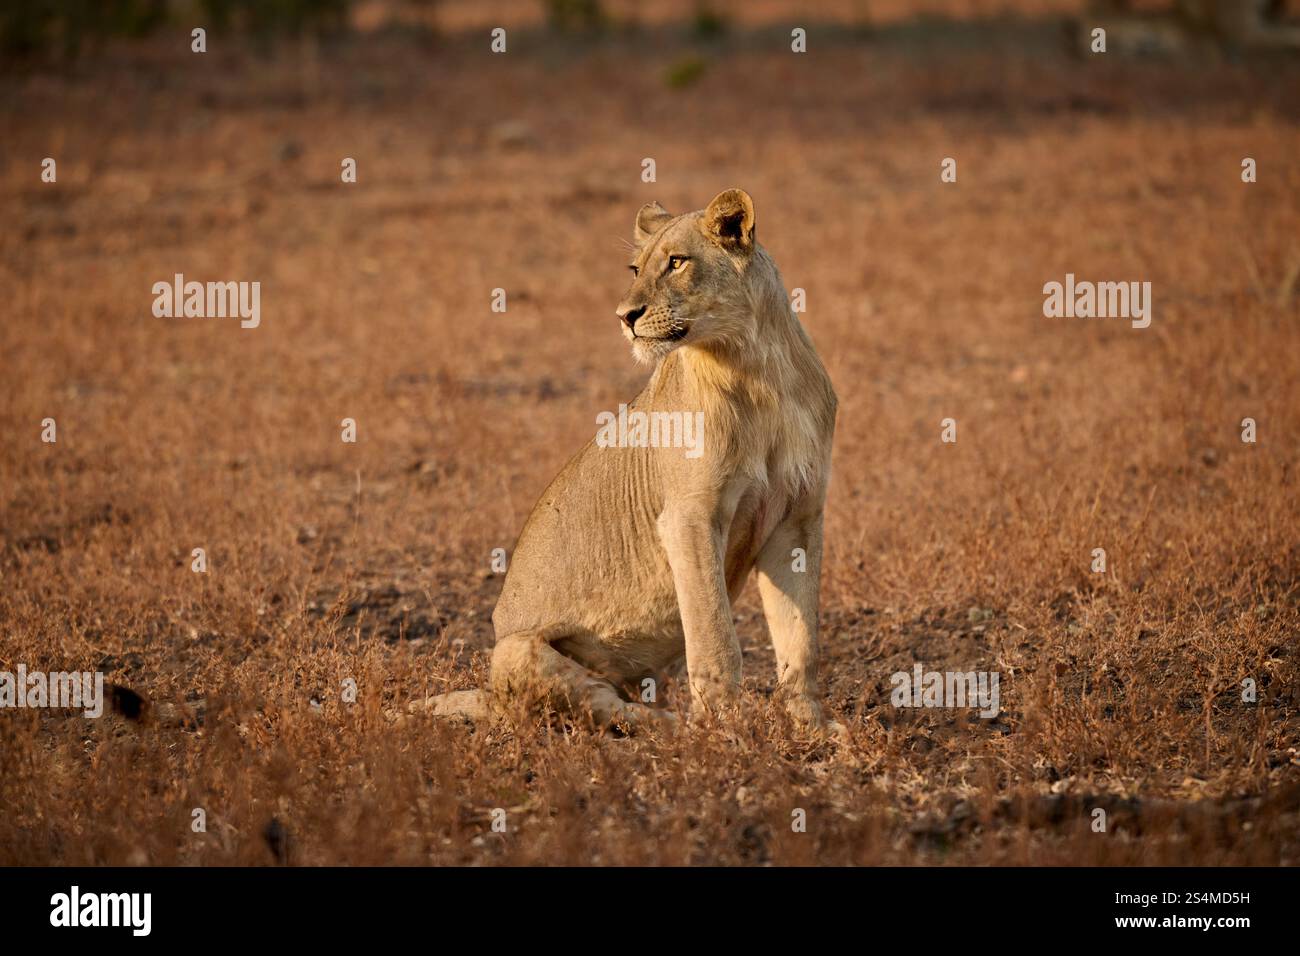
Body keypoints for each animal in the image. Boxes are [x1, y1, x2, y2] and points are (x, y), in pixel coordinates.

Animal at [419, 188, 838, 733]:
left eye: (676, 262)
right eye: (635, 268)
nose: (624, 316)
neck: (756, 368)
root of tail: (490, 696)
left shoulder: (799, 516)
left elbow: (801, 638)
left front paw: (813, 728)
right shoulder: (688, 516)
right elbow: (716, 638)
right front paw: (724, 732)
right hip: (512, 651)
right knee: (606, 705)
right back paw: (673, 727)